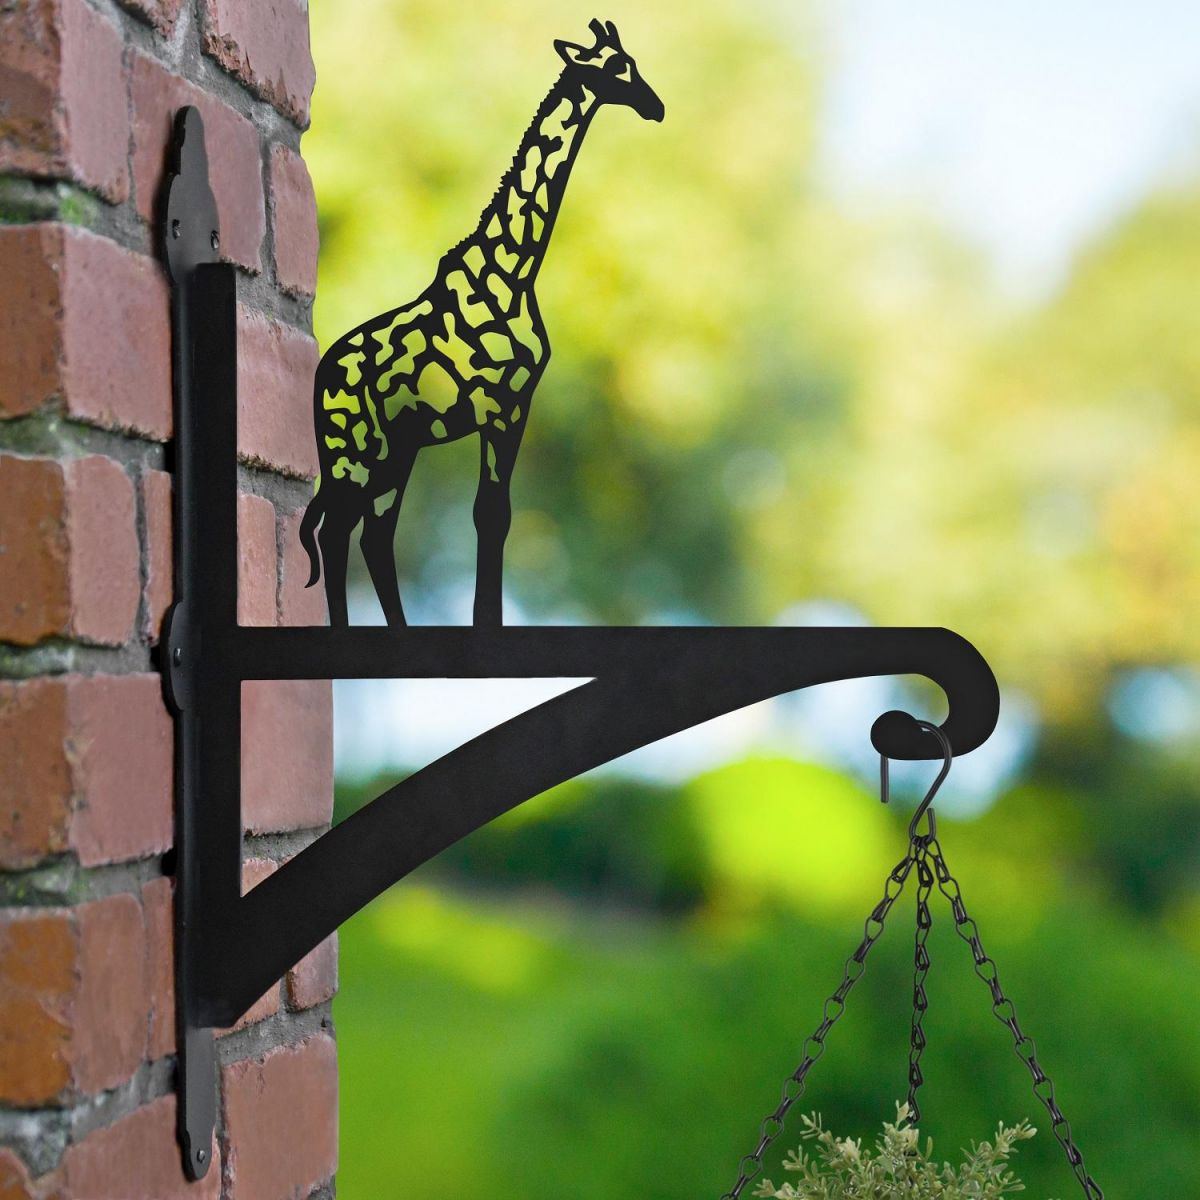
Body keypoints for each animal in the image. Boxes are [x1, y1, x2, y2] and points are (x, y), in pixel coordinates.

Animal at [299, 18, 663, 628]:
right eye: (616, 68)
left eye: (633, 62)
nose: (655, 106)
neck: (515, 272)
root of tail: (322, 375)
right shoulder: (497, 405)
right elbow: (488, 514)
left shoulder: (518, 403)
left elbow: (498, 514)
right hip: (353, 446)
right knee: (337, 529)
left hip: (396, 450)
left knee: (373, 531)